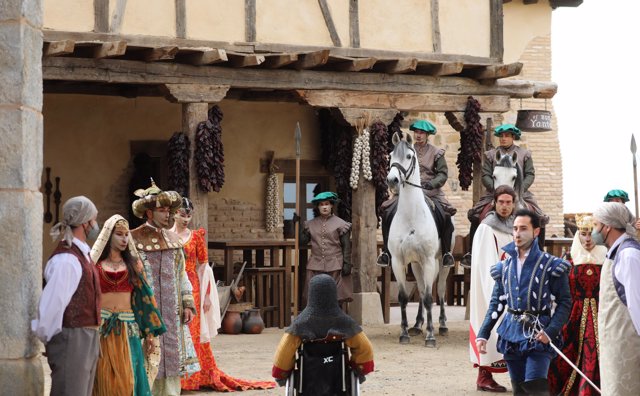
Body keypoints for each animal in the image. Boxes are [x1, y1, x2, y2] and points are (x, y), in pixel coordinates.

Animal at [384, 132, 450, 346]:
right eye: (390, 155)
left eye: (409, 156)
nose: (392, 180)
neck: (411, 216)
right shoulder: (398, 261)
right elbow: (404, 297)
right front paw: (404, 333)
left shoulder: (429, 261)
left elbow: (430, 297)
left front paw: (430, 336)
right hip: (415, 264)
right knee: (420, 290)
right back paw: (417, 325)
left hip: (441, 264)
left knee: (440, 290)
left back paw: (442, 325)